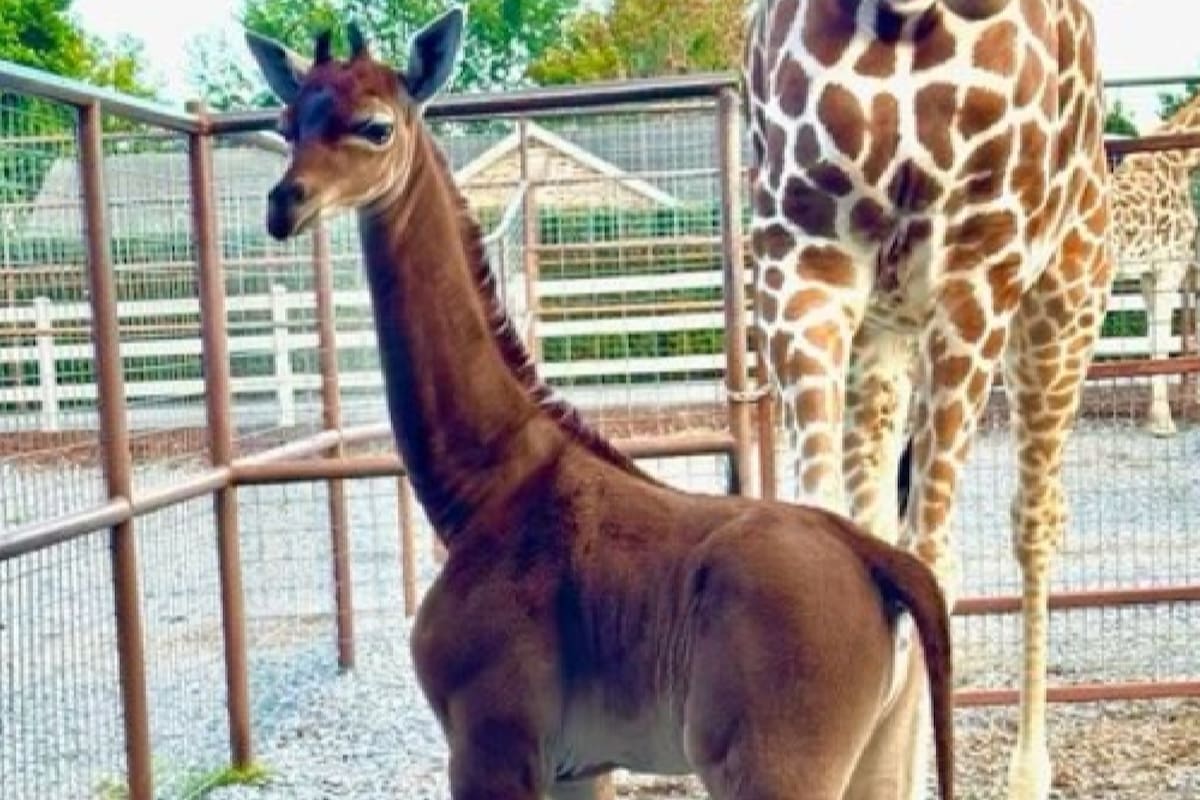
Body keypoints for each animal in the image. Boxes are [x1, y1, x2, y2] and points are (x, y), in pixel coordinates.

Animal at [246, 9, 955, 800]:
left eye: (375, 127)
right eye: (287, 121)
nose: (285, 203)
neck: (486, 490)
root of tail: (878, 561)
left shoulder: (491, 746)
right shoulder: (580, 764)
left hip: (775, 769)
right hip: (881, 755)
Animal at [743, 1, 1112, 799]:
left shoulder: (979, 266)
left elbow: (934, 563)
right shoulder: (802, 256)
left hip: (1064, 304)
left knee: (1035, 520)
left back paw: (1028, 772)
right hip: (884, 338)